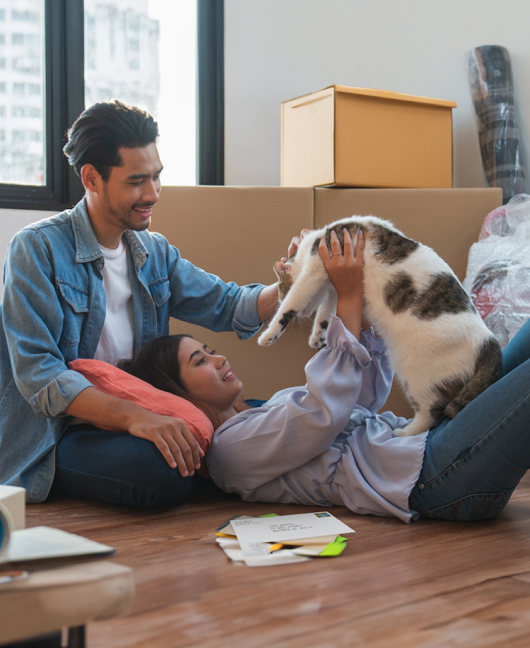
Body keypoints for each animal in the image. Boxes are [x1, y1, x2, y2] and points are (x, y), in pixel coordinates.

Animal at [258, 216, 502, 436]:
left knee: (432, 411)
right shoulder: (333, 286)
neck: (317, 240)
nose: (303, 314)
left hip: (416, 373)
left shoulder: (314, 271)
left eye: (281, 291)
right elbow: (326, 311)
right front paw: (318, 335)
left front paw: (269, 335)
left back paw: (403, 433)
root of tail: (489, 341)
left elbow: (290, 307)